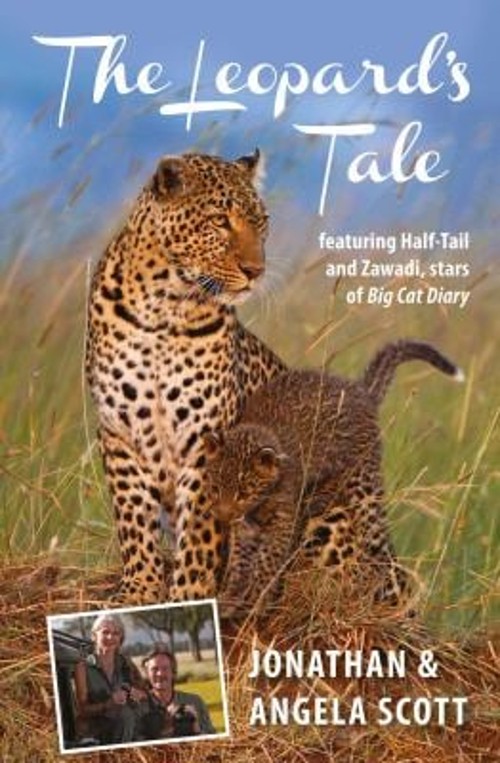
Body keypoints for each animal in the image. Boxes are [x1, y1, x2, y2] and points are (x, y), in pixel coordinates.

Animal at [86, 149, 286, 603]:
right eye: (219, 220)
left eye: (262, 221)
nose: (255, 270)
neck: (164, 304)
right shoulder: (118, 430)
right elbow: (132, 517)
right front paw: (139, 591)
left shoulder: (206, 436)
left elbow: (200, 528)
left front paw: (190, 596)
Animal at [202, 340, 463, 616]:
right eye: (215, 488)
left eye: (244, 491)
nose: (222, 515)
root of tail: (359, 389)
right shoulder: (246, 528)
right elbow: (239, 562)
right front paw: (229, 598)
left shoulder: (283, 522)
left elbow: (268, 563)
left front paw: (258, 600)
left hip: (364, 488)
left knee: (378, 541)